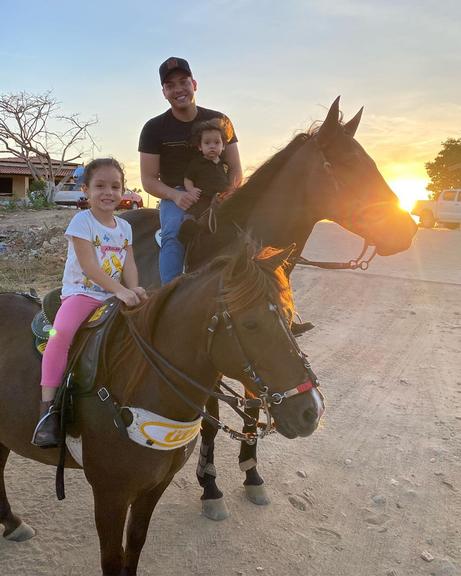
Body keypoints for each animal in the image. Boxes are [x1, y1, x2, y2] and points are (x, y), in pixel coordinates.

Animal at [0, 243, 324, 576]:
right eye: (251, 324)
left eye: (289, 316)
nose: (311, 411)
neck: (136, 385)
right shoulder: (110, 494)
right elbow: (112, 558)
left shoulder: (154, 487)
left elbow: (135, 544)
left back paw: (13, 524)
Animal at [119, 97, 416, 520]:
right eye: (344, 164)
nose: (406, 229)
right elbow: (211, 423)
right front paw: (210, 486)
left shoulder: (260, 354)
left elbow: (257, 408)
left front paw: (251, 474)